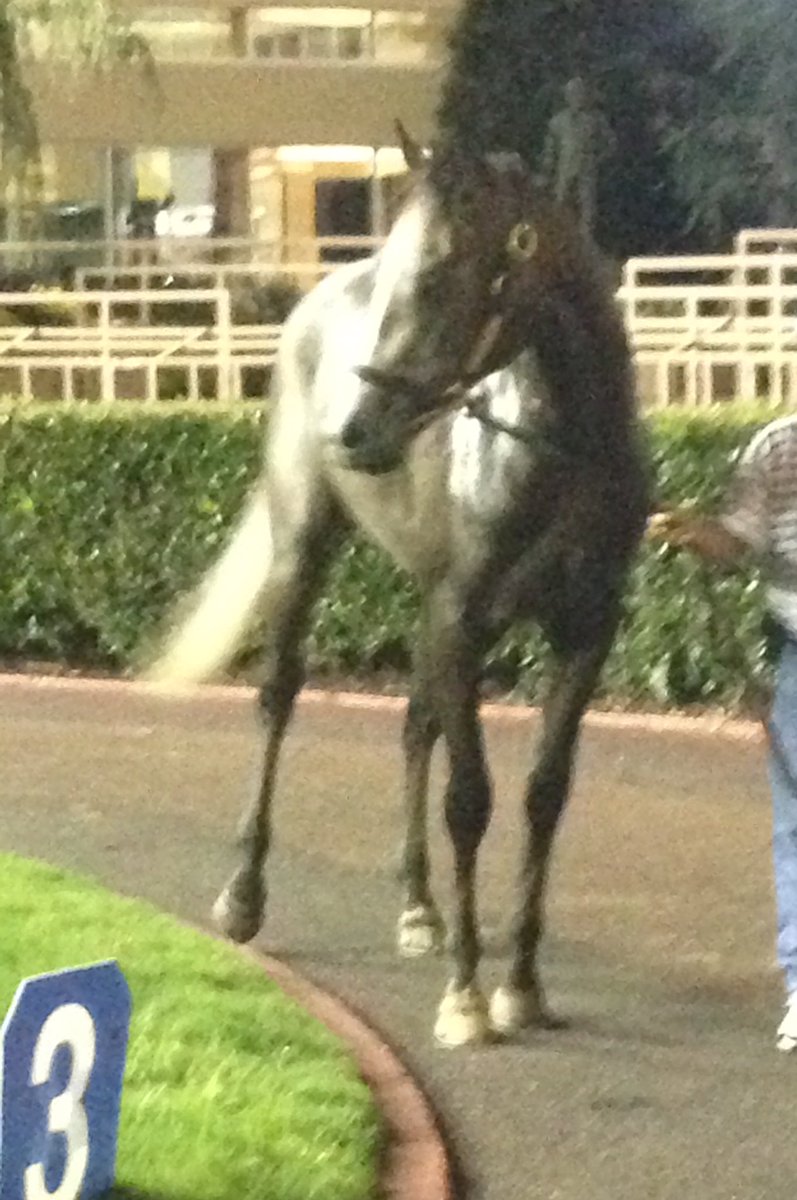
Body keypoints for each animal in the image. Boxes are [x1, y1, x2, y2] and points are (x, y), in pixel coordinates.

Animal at [146, 130, 650, 1047]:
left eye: (442, 273)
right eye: (397, 272)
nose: (353, 431)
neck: (559, 455)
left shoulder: (580, 632)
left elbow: (543, 794)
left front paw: (521, 982)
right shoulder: (463, 619)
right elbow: (469, 798)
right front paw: (467, 999)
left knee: (415, 727)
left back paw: (421, 908)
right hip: (304, 548)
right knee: (279, 698)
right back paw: (244, 895)